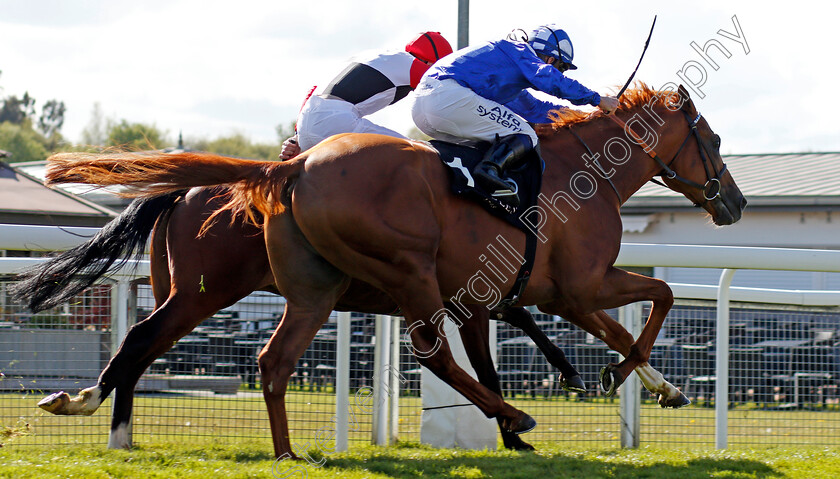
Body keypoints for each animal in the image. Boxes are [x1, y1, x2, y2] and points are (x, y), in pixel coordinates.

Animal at [11, 188, 576, 454]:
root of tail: (184, 192)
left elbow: (513, 332)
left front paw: (556, 385)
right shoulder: (468, 299)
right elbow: (492, 358)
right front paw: (518, 424)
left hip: (179, 292)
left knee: (142, 346)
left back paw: (112, 429)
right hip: (203, 293)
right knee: (138, 339)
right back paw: (93, 409)